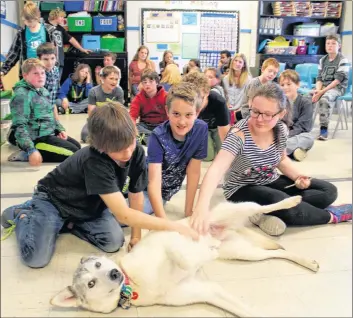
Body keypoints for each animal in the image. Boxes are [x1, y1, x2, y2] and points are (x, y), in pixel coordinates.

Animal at [50, 196, 320, 316]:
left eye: (99, 263)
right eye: (91, 283)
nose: (115, 274)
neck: (132, 284)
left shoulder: (167, 242)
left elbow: (180, 253)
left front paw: (198, 253)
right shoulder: (209, 292)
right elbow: (248, 312)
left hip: (234, 212)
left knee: (263, 207)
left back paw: (291, 200)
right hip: (243, 254)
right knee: (277, 254)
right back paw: (306, 261)